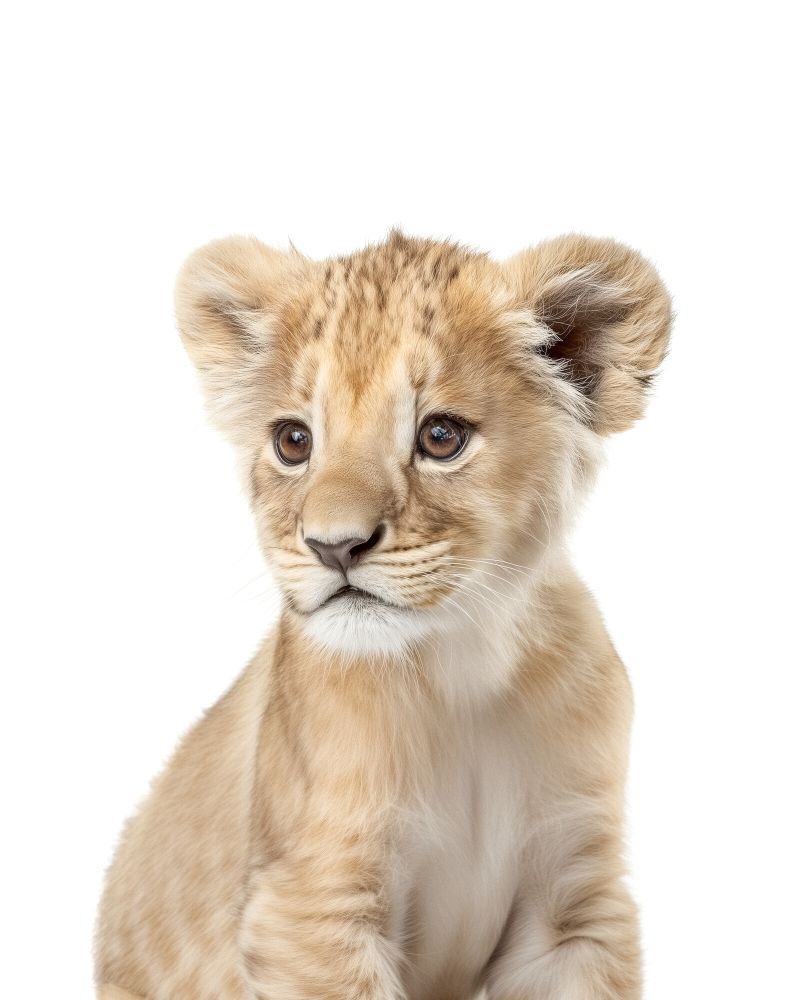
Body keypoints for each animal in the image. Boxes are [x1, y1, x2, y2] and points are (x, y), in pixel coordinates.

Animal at [95, 230, 672, 999]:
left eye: (441, 437)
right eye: (294, 441)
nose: (334, 546)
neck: (461, 673)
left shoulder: (572, 908)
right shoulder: (308, 905)